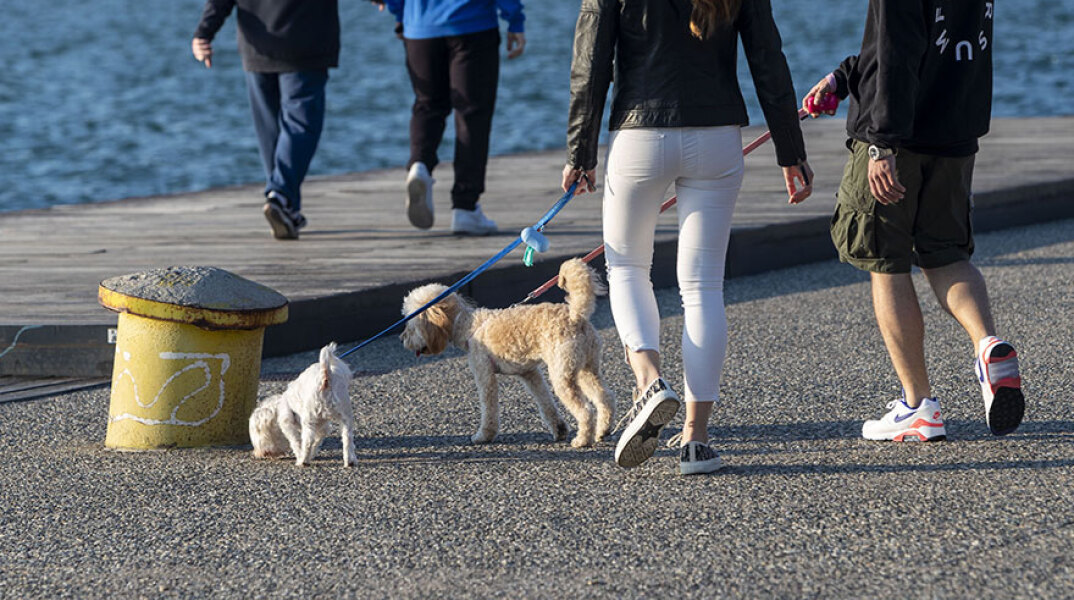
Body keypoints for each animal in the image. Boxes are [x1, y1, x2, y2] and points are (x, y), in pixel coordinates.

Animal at [399, 255, 614, 448]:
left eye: (411, 326)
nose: (402, 339)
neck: (467, 324)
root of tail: (575, 316)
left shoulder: (485, 375)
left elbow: (489, 409)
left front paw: (483, 436)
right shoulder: (530, 374)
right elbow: (545, 402)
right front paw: (559, 429)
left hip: (563, 374)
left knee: (585, 409)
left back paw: (582, 440)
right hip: (586, 368)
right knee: (605, 397)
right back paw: (603, 431)